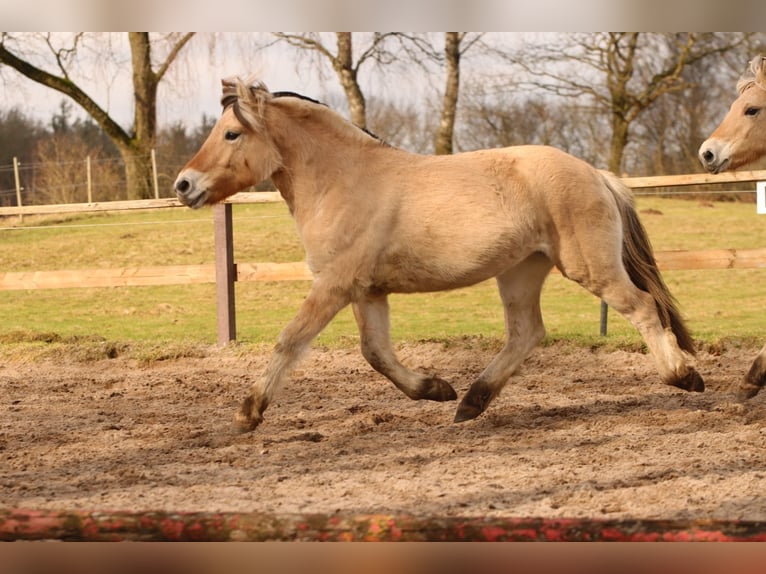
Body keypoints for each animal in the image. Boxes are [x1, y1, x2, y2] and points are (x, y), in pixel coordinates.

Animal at [175, 77, 704, 432]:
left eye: (231, 134)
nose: (184, 185)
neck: (344, 181)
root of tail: (597, 174)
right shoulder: (367, 291)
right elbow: (376, 353)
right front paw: (434, 389)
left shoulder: (335, 285)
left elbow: (290, 341)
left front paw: (248, 412)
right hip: (520, 272)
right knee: (526, 333)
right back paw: (469, 402)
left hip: (589, 268)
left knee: (643, 307)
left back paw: (684, 375)